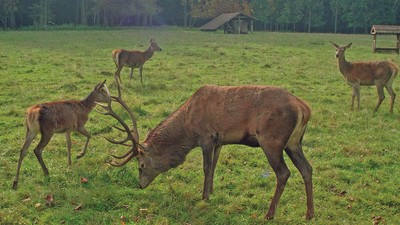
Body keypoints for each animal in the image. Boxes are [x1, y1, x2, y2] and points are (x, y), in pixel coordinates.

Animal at [98, 80, 314, 220]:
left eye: (141, 165)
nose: (140, 185)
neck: (187, 126)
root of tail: (304, 108)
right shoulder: (219, 141)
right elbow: (215, 167)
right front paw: (211, 191)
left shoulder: (206, 137)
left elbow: (206, 167)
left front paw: (204, 196)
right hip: (294, 142)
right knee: (307, 168)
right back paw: (309, 214)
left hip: (271, 140)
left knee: (283, 173)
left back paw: (269, 214)